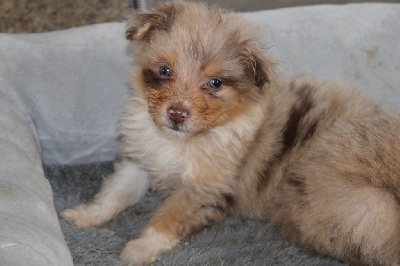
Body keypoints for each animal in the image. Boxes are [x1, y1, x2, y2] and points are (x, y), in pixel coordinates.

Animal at [61, 1, 400, 264]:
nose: (176, 114)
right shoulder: (140, 161)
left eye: (215, 83)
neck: (182, 141)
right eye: (165, 70)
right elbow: (114, 193)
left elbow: (166, 217)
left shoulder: (202, 188)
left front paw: (140, 249)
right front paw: (84, 216)